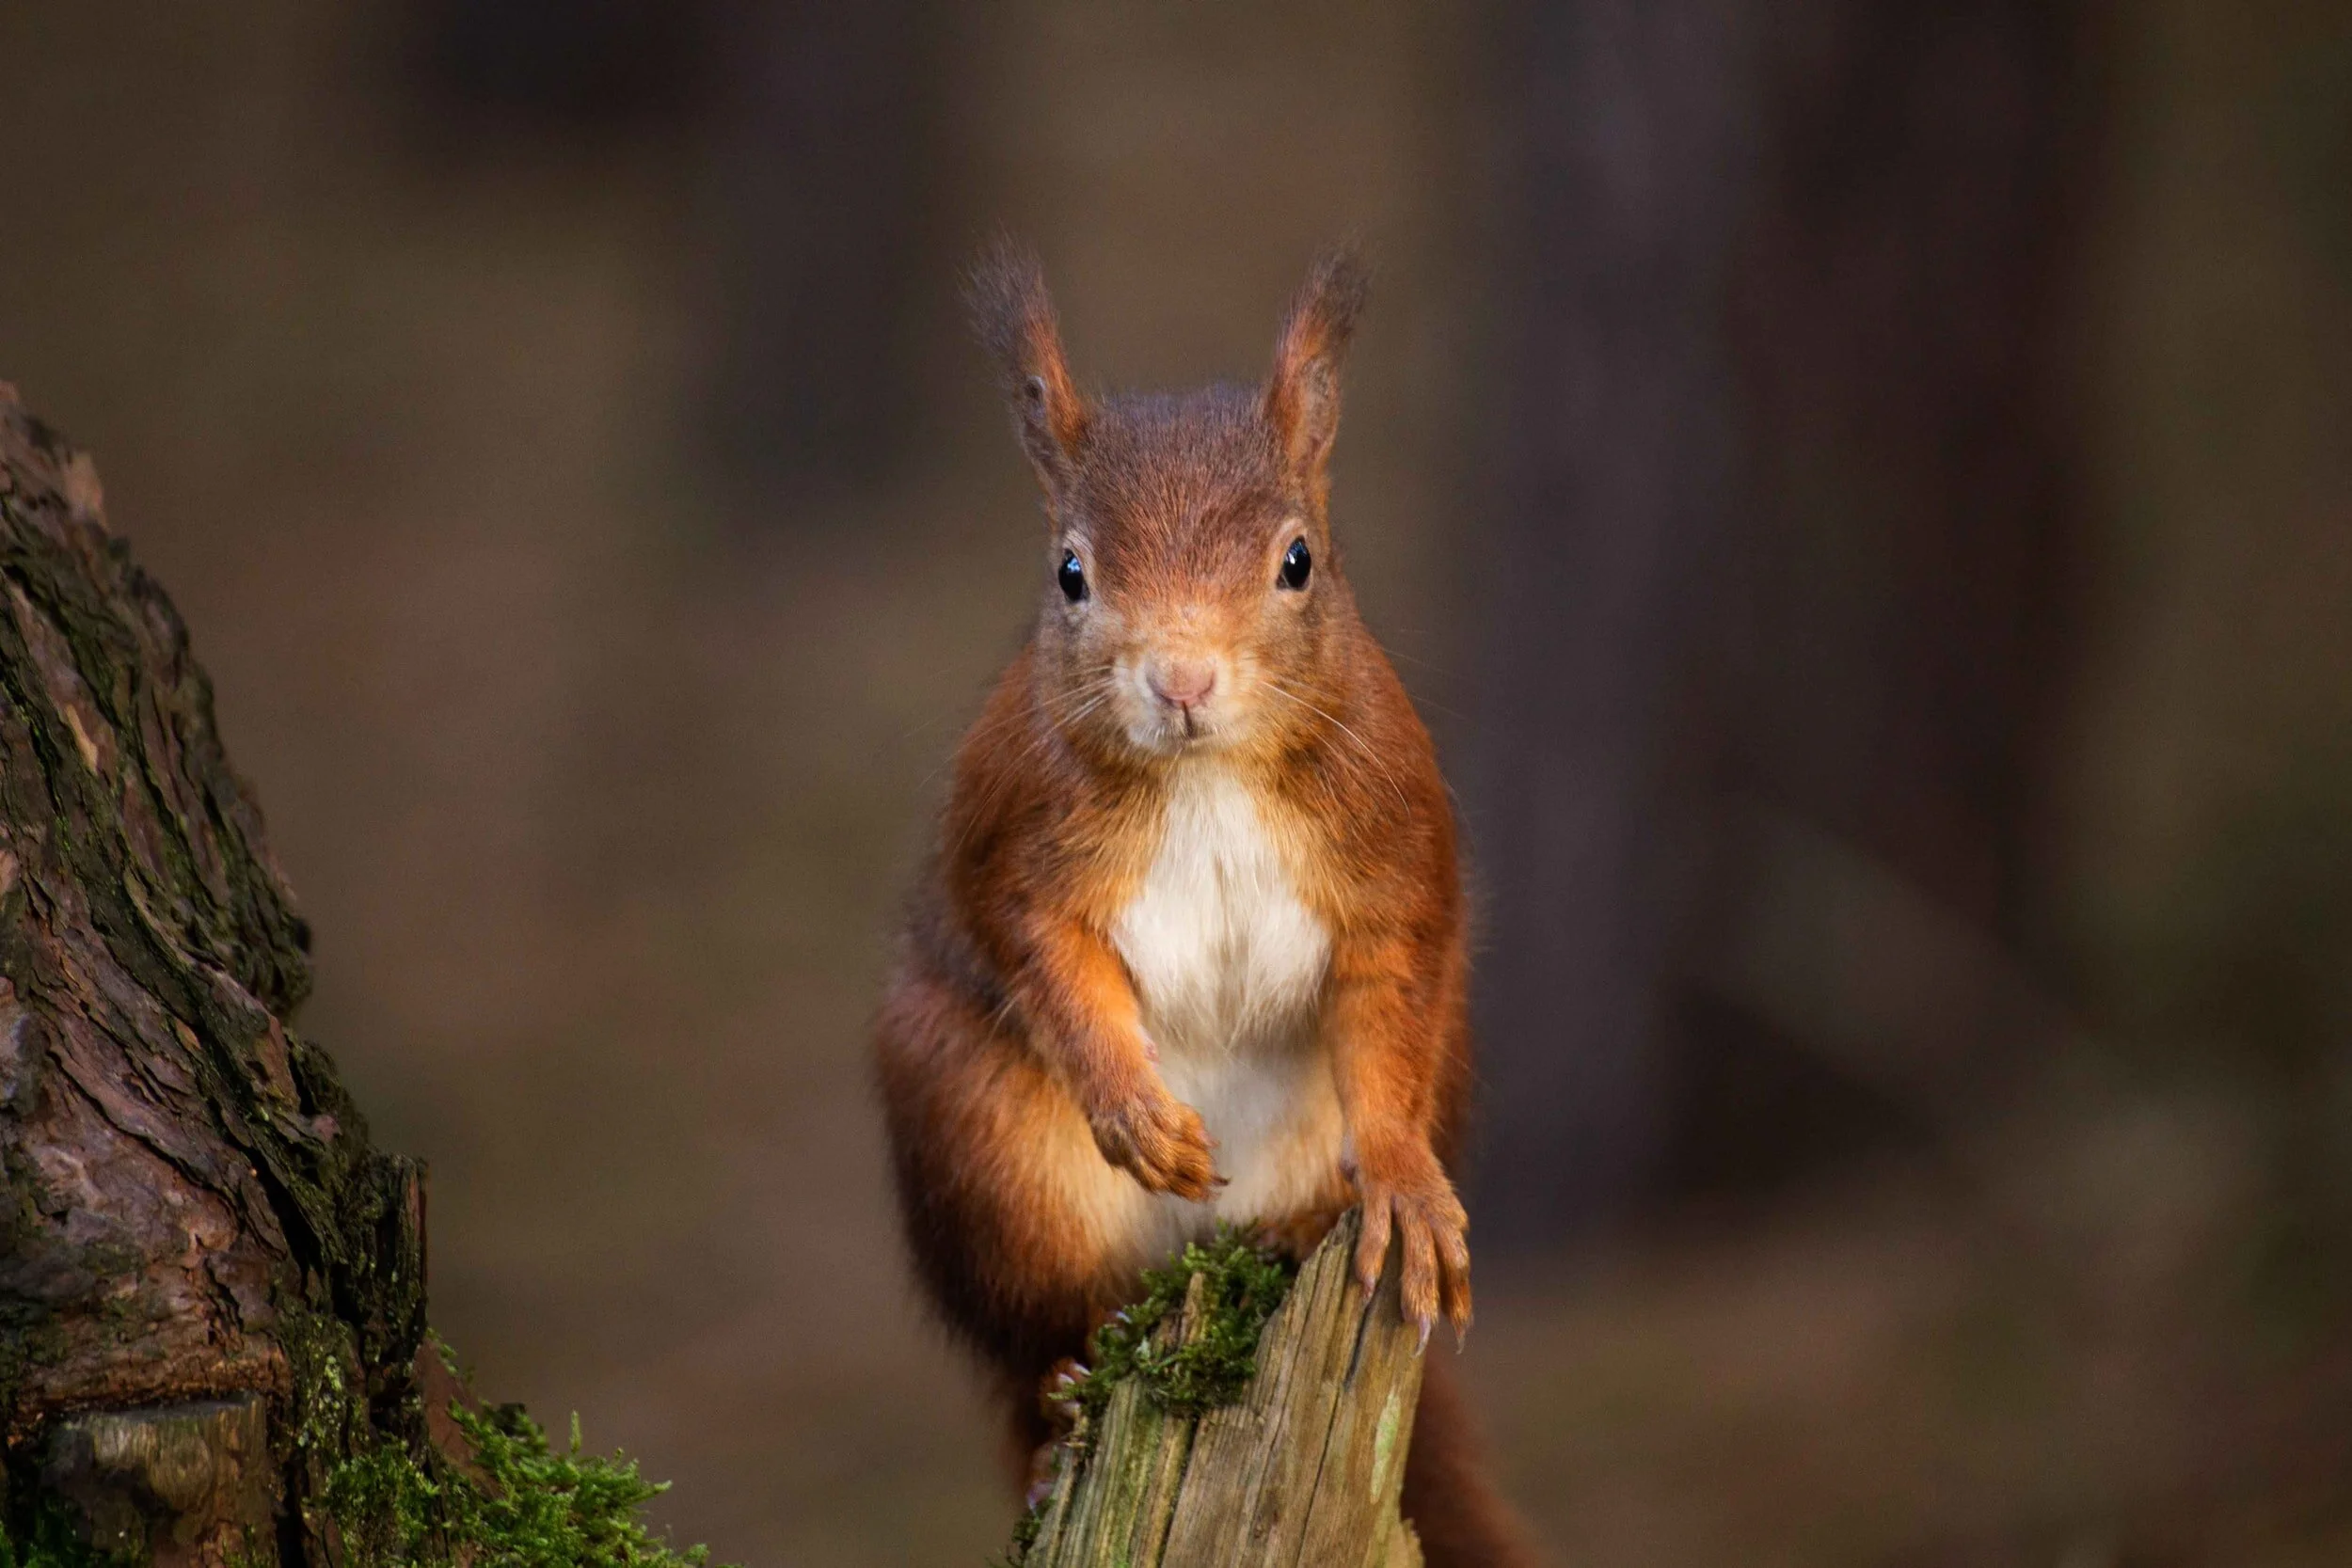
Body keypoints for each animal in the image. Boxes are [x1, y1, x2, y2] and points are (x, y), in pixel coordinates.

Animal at [873, 240, 1536, 1567]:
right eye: (1070, 572)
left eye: (1298, 559)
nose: (1179, 677)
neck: (1208, 775)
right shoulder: (1014, 842)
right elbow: (1043, 956)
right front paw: (1133, 1106)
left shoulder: (1393, 858)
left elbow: (1387, 1012)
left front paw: (1401, 1181)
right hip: (978, 1140)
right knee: (1042, 1342)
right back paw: (1056, 1420)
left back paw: (1306, 1227)